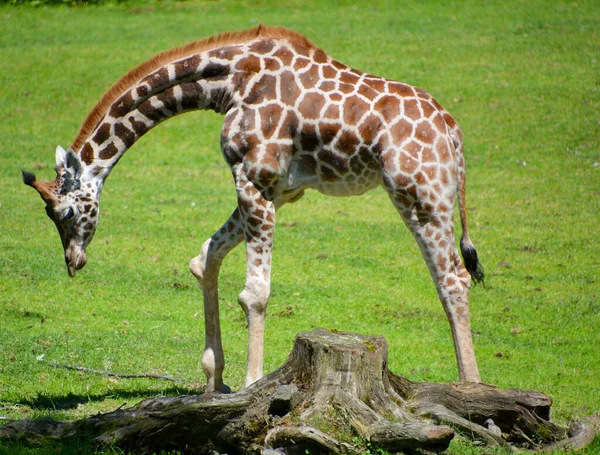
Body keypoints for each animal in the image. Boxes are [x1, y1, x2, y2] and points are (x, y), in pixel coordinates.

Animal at [23, 25, 482, 394]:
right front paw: (214, 376)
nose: (72, 261)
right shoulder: (278, 189)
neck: (229, 81)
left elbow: (254, 293)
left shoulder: (254, 177)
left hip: (419, 195)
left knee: (453, 279)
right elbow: (205, 258)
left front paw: (251, 383)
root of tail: (453, 131)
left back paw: (471, 388)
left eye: (63, 214)